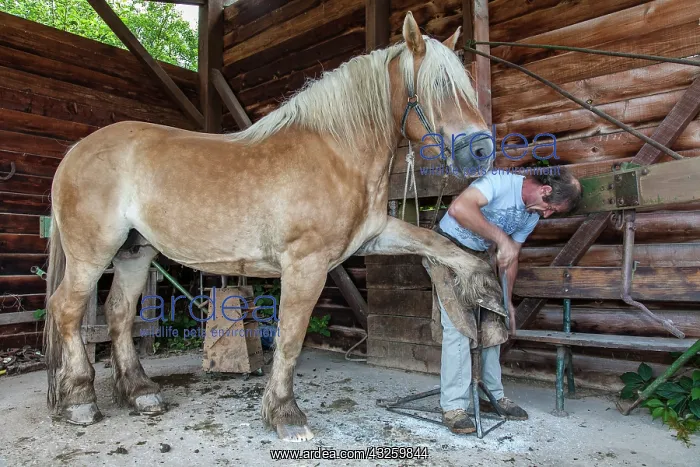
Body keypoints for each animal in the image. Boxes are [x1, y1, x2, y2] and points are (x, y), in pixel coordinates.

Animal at [43, 11, 503, 442]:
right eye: (440, 87)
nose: (482, 151)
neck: (337, 151)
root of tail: (76, 150)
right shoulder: (306, 264)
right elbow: (291, 338)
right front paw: (285, 414)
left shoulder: (373, 237)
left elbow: (435, 242)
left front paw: (485, 286)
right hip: (92, 254)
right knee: (66, 309)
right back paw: (80, 400)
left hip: (135, 253)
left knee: (118, 313)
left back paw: (140, 393)